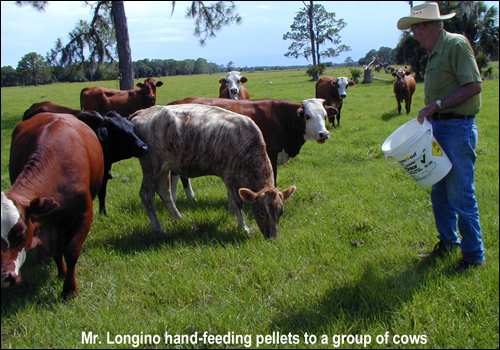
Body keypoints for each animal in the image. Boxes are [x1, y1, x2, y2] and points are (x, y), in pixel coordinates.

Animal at [0, 113, 104, 300]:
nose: (4, 277)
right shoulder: (50, 223)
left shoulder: (84, 215)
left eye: (21, 231)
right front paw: (61, 273)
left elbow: (71, 252)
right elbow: (57, 252)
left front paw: (69, 290)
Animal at [130, 102, 296, 238]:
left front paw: (230, 215)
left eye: (280, 212)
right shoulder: (229, 176)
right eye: (261, 212)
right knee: (146, 194)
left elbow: (231, 199)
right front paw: (243, 227)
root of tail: (142, 111)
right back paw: (158, 228)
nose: (272, 237)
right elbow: (237, 202)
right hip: (151, 164)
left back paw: (178, 218)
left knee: (165, 192)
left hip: (165, 167)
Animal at [169, 97, 336, 202]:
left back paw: (187, 197)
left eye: (325, 115)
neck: (283, 118)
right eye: (307, 116)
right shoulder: (270, 155)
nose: (324, 133)